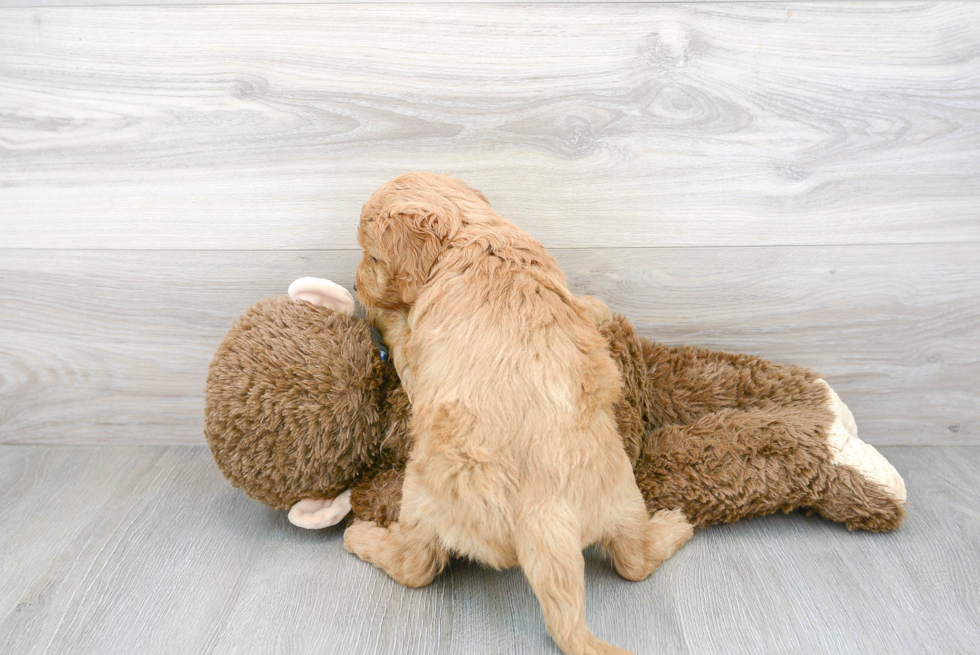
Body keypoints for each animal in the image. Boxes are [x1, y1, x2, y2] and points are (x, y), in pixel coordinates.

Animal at [348, 172, 692, 652]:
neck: (470, 233)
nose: (354, 285)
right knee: (634, 560)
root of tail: (545, 516)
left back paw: (360, 537)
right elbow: (583, 305)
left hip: (421, 493)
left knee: (415, 566)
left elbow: (401, 333)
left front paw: (381, 314)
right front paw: (597, 307)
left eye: (373, 256)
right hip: (623, 492)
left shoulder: (416, 363)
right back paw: (675, 526)